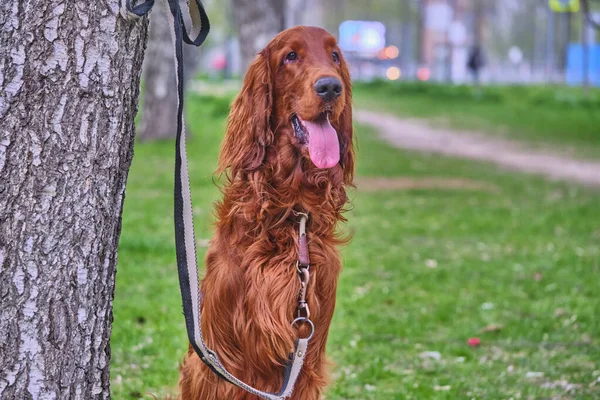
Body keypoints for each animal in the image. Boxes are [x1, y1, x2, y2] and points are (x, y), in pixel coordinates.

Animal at [178, 26, 356, 398]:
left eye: (335, 56)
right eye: (290, 56)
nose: (331, 87)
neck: (292, 210)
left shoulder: (306, 355)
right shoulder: (223, 361)